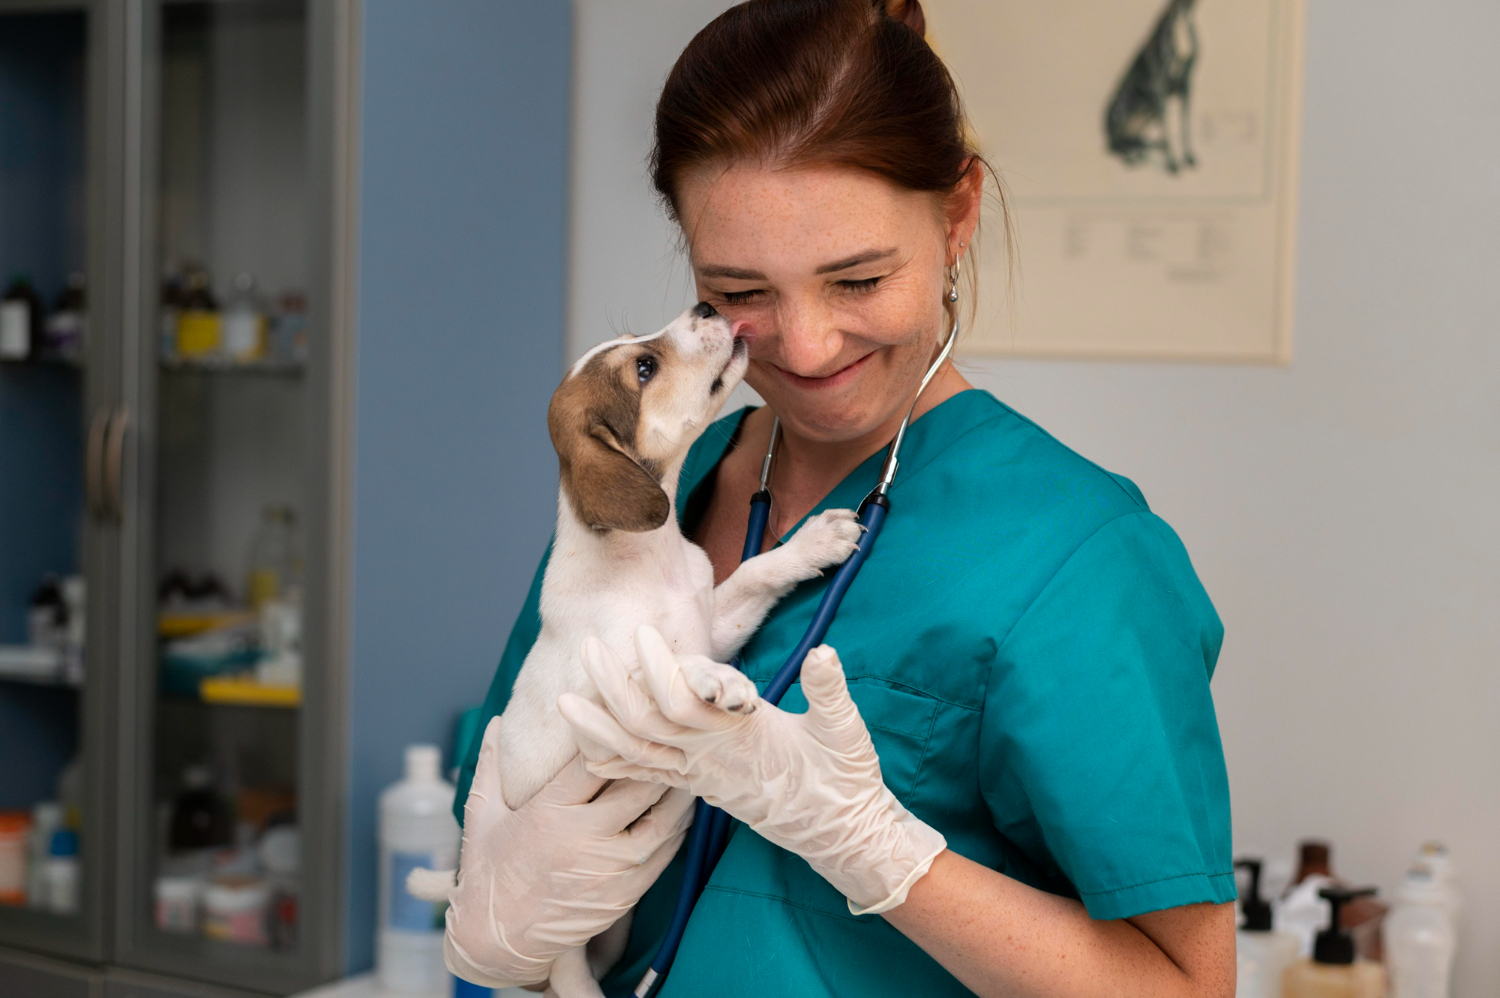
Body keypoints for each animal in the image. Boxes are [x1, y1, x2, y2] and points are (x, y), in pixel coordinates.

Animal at [423, 303, 870, 996]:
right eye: (644, 368)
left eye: (640, 347)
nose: (708, 307)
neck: (647, 560)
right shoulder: (603, 693)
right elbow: (666, 668)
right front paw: (718, 683)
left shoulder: (713, 619)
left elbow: (752, 576)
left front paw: (811, 543)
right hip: (561, 945)